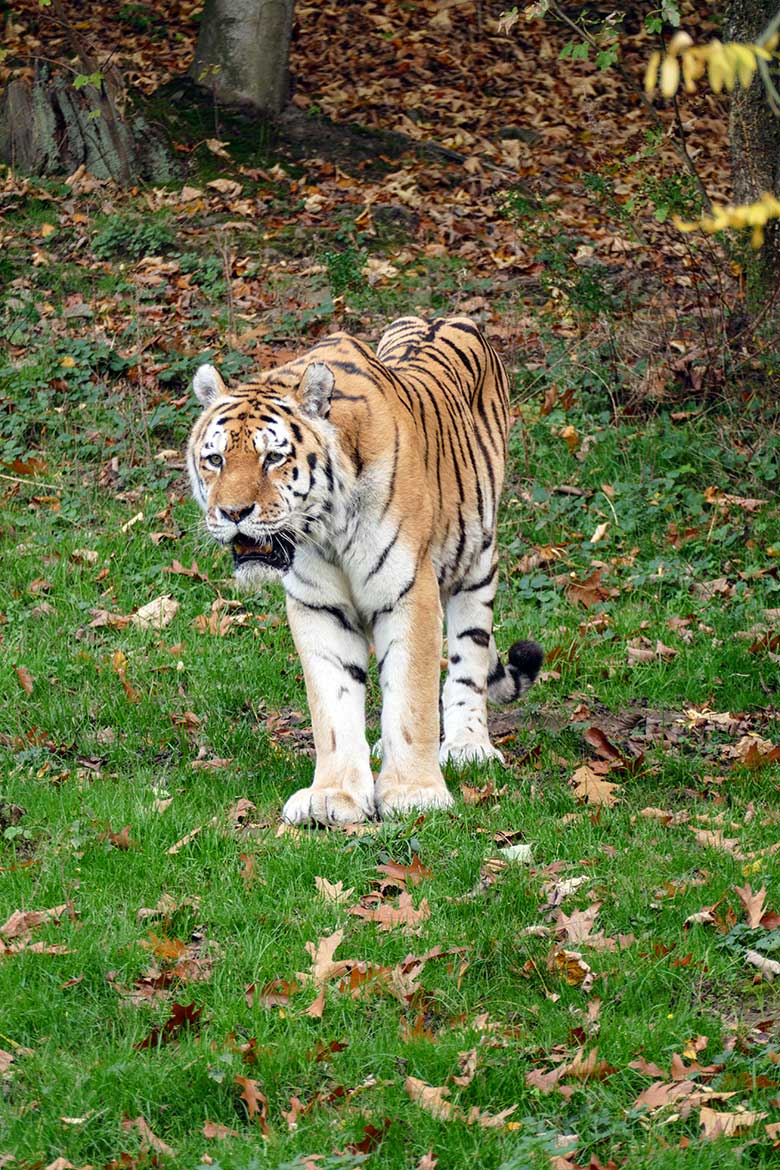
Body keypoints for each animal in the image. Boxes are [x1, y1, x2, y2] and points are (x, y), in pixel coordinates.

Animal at [188, 315, 542, 828]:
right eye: (215, 459)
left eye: (272, 457)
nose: (233, 513)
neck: (326, 529)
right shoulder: (318, 606)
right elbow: (333, 708)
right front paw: (333, 796)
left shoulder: (409, 592)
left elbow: (411, 698)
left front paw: (415, 794)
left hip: (477, 561)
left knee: (468, 659)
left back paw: (467, 746)